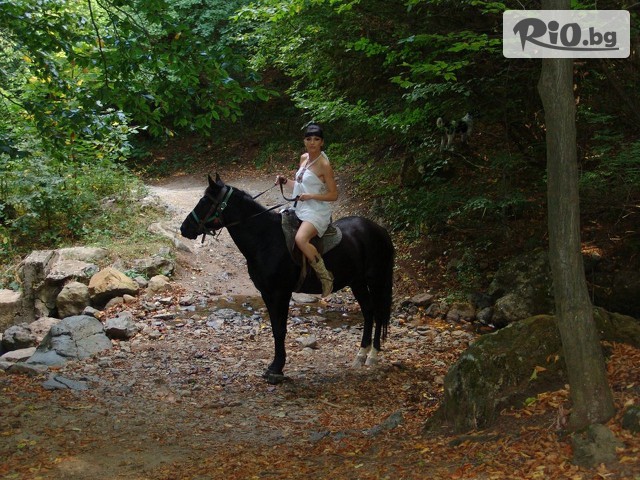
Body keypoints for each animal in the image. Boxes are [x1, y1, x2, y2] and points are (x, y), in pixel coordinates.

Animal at [180, 174, 395, 384]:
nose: (184, 228)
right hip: (357, 282)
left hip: (375, 279)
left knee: (377, 312)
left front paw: (276, 369)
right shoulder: (267, 293)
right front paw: (274, 367)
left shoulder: (280, 293)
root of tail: (379, 229)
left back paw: (372, 355)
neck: (266, 239)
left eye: (205, 201)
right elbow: (275, 328)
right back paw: (361, 355)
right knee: (368, 311)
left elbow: (280, 329)